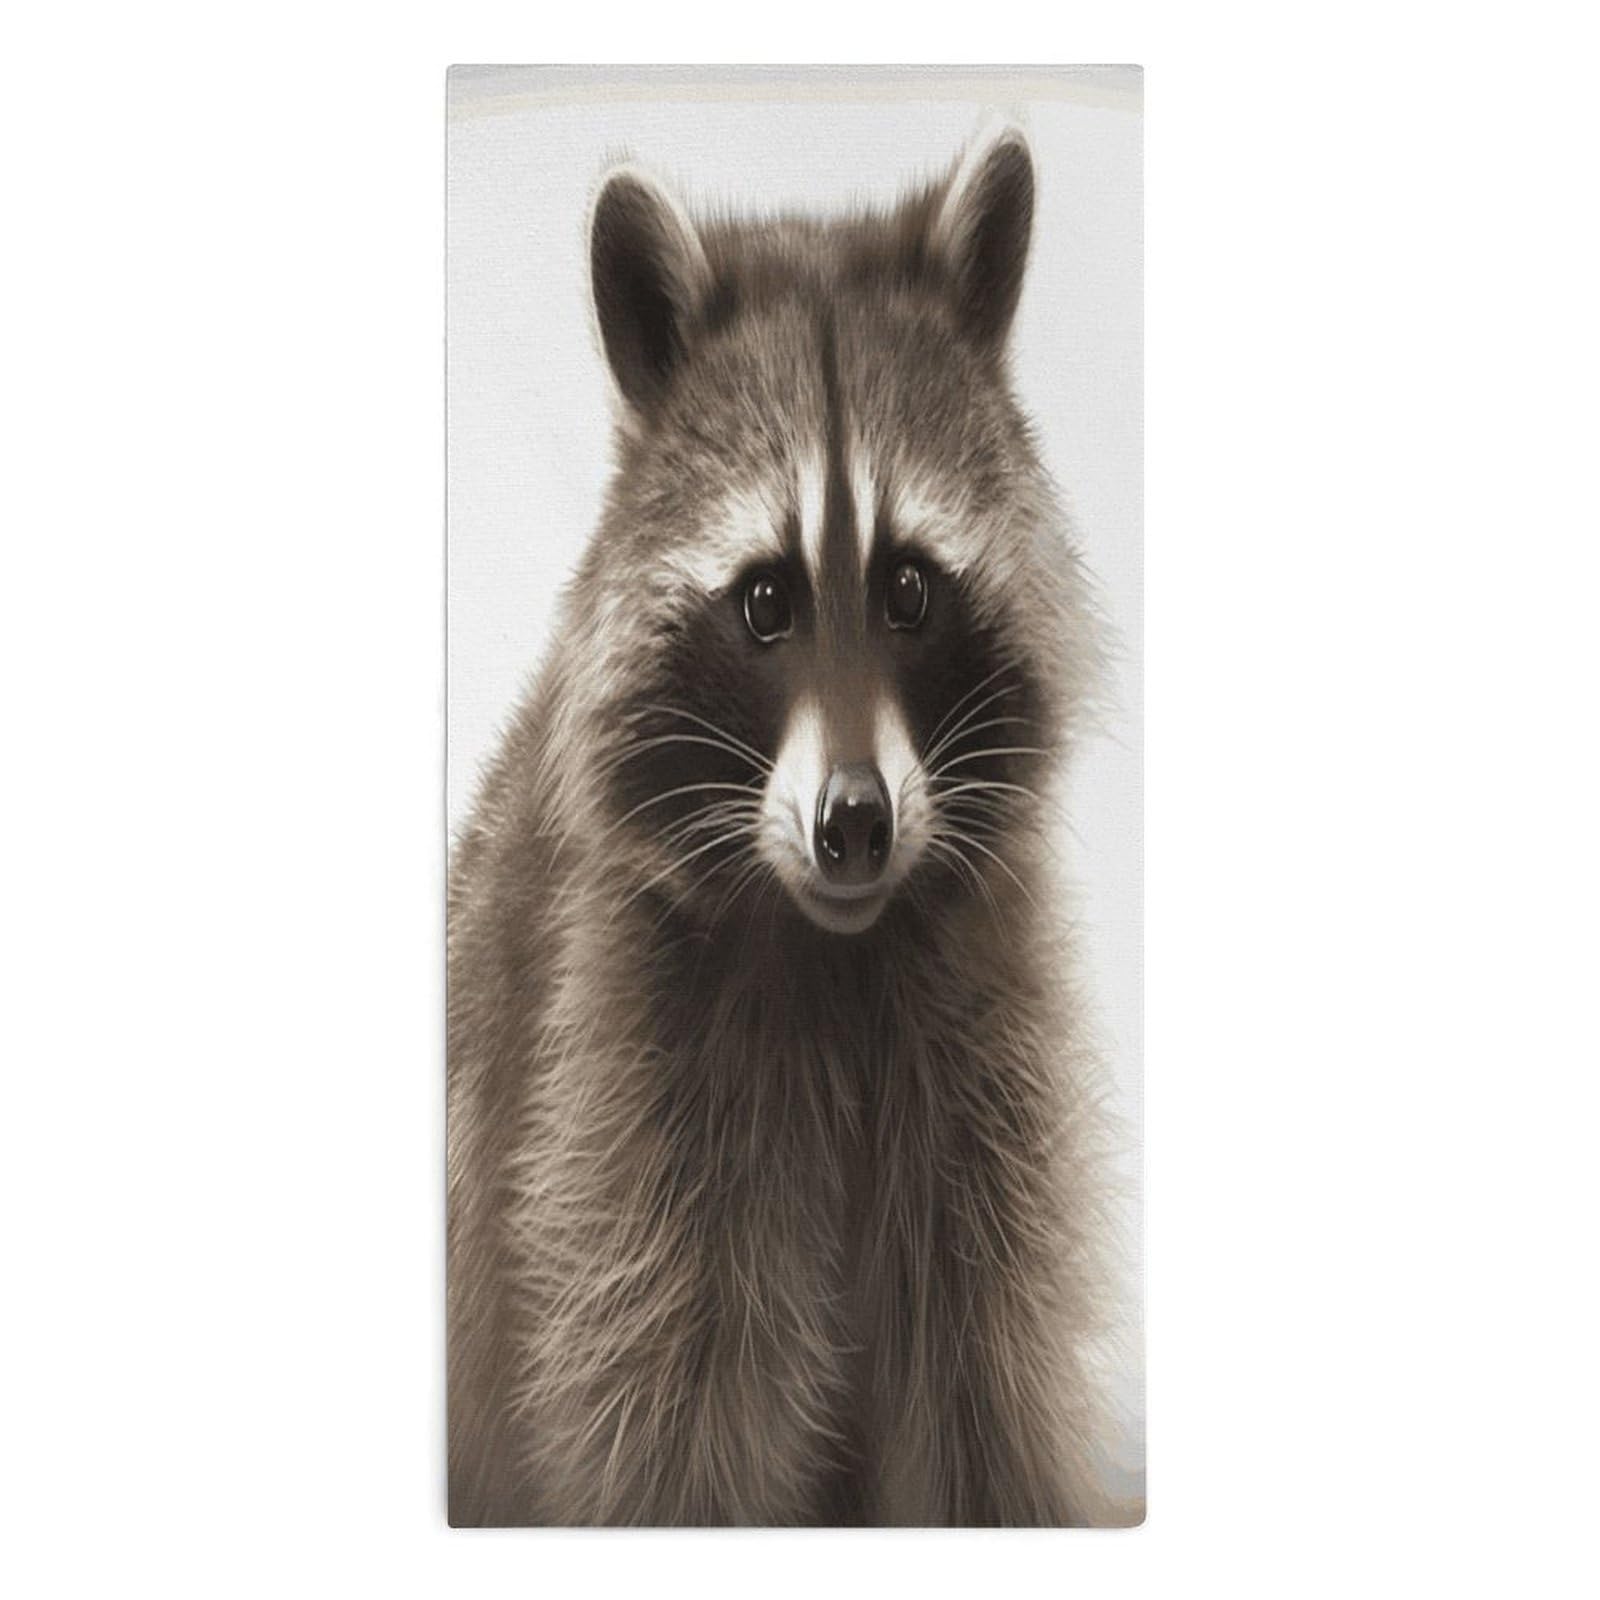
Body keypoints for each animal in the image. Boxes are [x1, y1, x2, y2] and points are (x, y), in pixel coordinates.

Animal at [448, 127, 1122, 1526]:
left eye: (910, 588)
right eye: (766, 603)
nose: (854, 823)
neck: (837, 949)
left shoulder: (984, 1046)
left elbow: (985, 1386)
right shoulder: (613, 1082)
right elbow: (666, 1418)